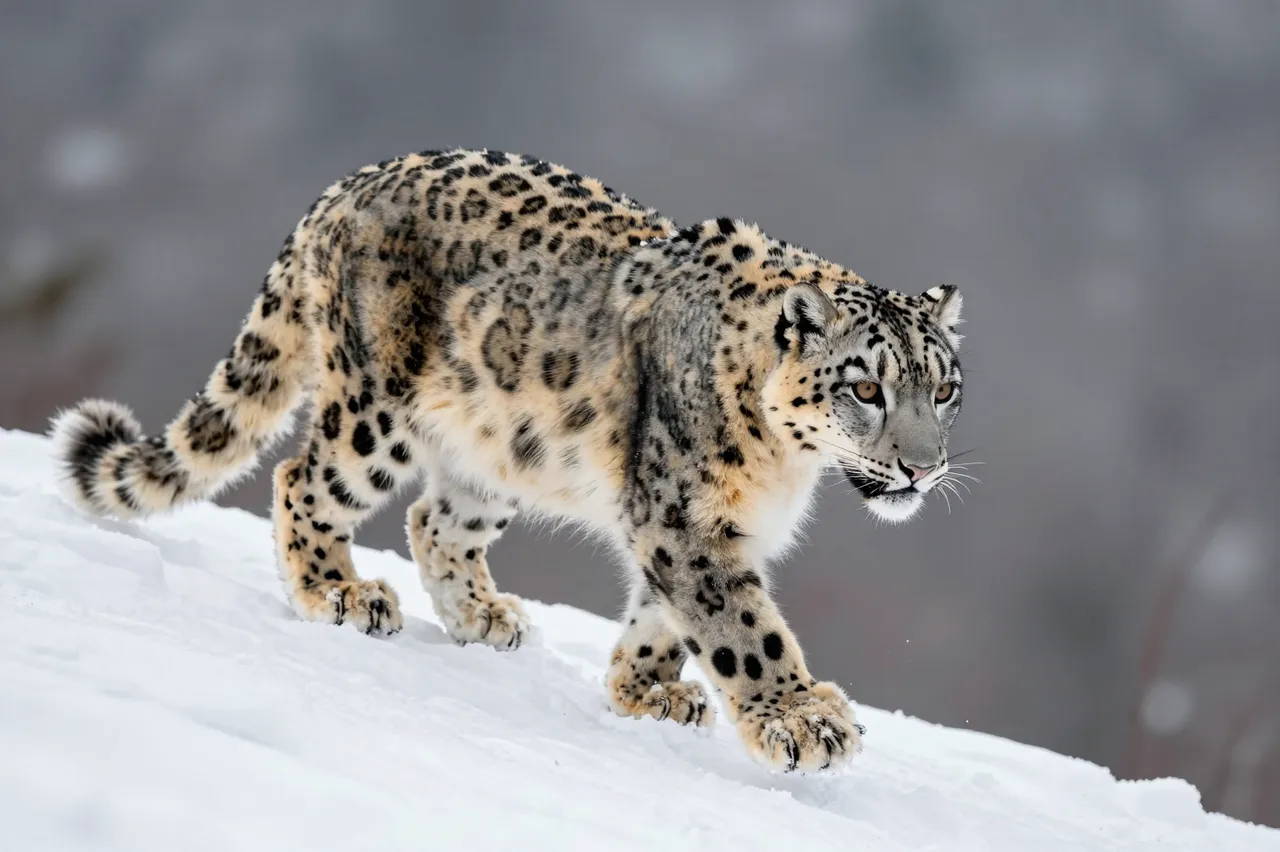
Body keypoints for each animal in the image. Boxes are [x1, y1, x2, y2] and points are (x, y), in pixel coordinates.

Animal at [49, 148, 965, 774]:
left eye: (945, 387)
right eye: (866, 387)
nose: (920, 468)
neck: (785, 468)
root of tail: (349, 184)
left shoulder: (706, 529)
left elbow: (663, 616)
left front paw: (646, 690)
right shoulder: (685, 519)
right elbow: (741, 626)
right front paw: (803, 719)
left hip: (496, 451)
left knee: (433, 518)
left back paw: (482, 616)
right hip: (374, 412)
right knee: (302, 478)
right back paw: (339, 593)